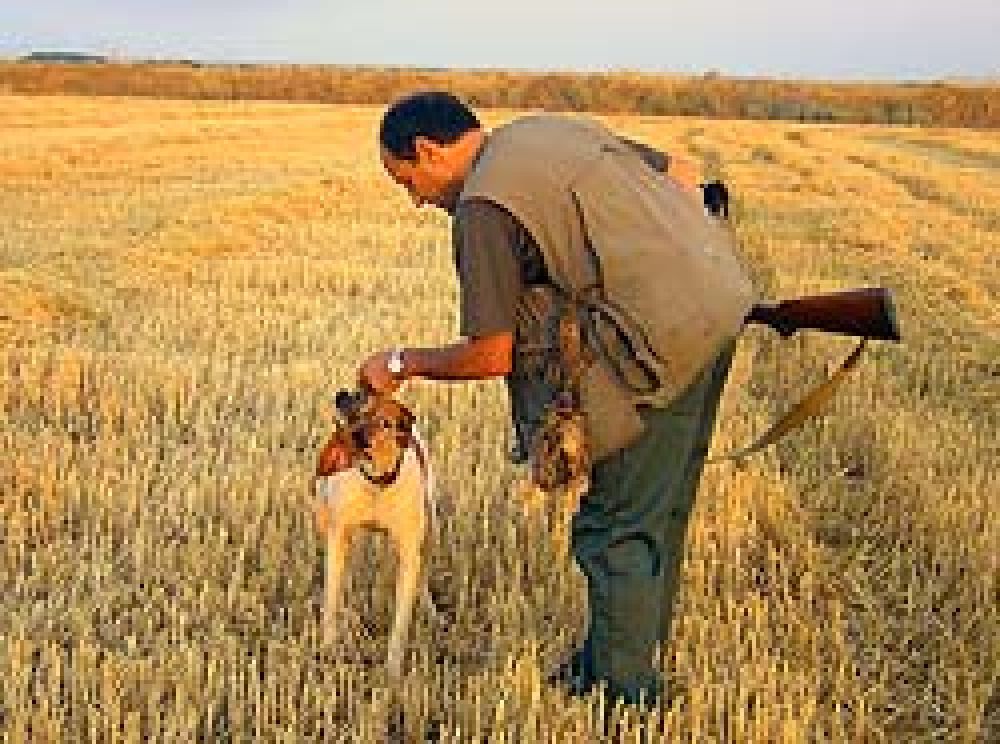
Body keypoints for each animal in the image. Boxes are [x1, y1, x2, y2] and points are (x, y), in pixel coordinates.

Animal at [312, 390, 438, 680]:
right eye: (359, 406)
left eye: (385, 422)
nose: (342, 396)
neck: (376, 483)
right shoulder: (338, 536)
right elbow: (331, 600)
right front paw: (328, 649)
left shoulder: (409, 551)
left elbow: (400, 622)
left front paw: (392, 671)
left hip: (430, 525)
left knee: (423, 571)